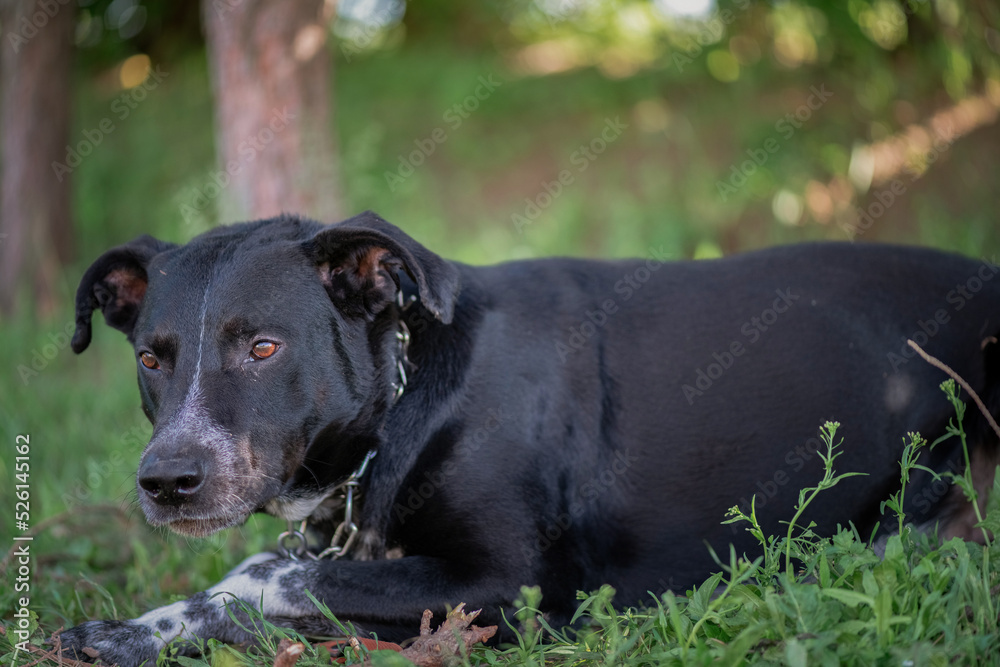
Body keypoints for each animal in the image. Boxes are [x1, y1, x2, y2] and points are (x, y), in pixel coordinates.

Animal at [62, 213, 1000, 664]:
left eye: (263, 347)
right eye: (151, 357)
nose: (166, 480)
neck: (410, 401)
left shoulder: (508, 586)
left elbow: (271, 576)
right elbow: (274, 572)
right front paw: (136, 628)